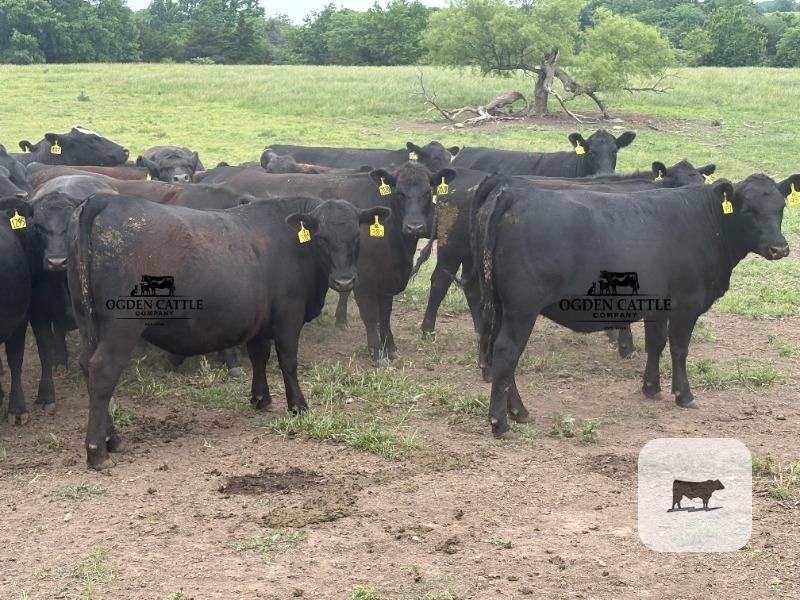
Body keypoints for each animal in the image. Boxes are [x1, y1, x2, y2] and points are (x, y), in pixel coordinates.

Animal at [67, 193, 390, 469]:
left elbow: (259, 356)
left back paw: (112, 439)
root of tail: (104, 199)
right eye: (321, 237)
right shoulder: (288, 315)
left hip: (87, 321)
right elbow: (287, 361)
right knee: (103, 371)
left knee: (86, 366)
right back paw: (97, 451)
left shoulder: (260, 320)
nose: (345, 281)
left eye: (356, 236)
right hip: (121, 327)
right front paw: (298, 406)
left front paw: (260, 398)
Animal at [198, 162, 455, 364]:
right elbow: (371, 315)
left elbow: (385, 314)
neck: (396, 247)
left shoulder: (387, 279)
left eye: (428, 191)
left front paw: (390, 347)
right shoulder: (363, 280)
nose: (414, 227)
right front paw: (376, 353)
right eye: (398, 192)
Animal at [420, 160, 716, 358]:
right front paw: (625, 345)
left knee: (473, 288)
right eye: (682, 183)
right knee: (440, 281)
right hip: (452, 247)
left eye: (702, 181)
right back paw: (428, 331)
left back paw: (480, 329)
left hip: (476, 257)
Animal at [471, 172, 794, 436]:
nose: (779, 248)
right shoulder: (687, 303)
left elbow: (656, 344)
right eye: (749, 210)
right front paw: (684, 395)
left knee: (500, 354)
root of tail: (514, 193)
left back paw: (518, 412)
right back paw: (501, 422)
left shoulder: (657, 306)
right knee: (506, 353)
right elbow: (679, 348)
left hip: (500, 306)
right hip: (521, 309)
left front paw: (651, 388)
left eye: (780, 208)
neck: (707, 222)